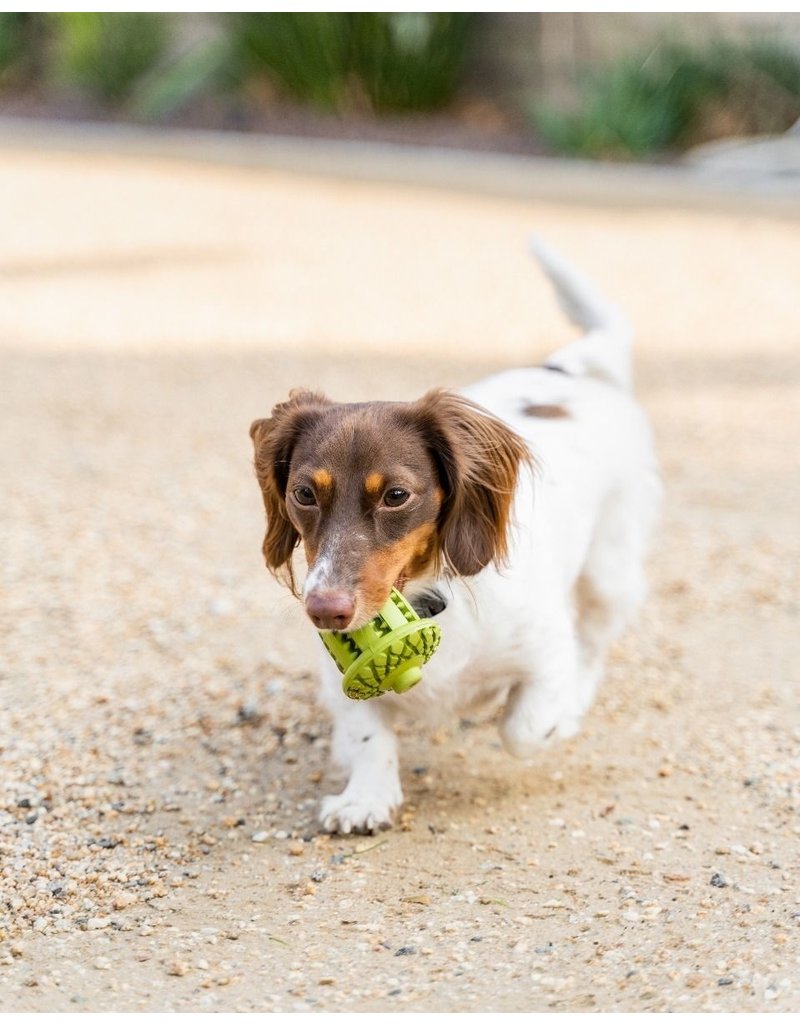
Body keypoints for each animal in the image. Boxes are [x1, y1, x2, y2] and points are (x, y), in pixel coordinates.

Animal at [249, 239, 659, 831]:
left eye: (396, 495)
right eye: (304, 494)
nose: (325, 611)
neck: (431, 594)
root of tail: (567, 371)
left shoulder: (545, 650)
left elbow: (523, 727)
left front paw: (551, 718)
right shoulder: (337, 679)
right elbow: (366, 730)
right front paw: (364, 796)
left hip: (612, 570)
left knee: (594, 642)